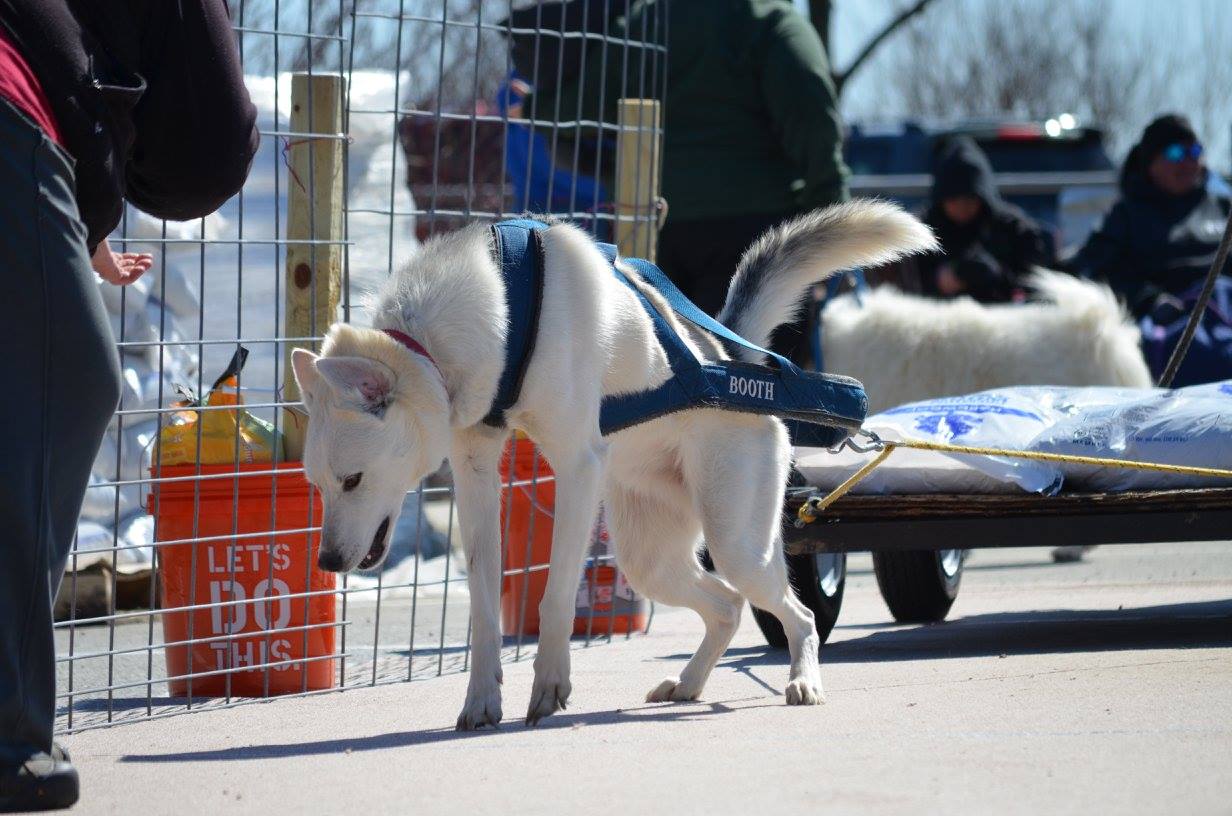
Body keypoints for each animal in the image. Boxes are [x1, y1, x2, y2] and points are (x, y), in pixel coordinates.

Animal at [290, 199, 931, 729]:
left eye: (353, 479)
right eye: (316, 485)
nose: (327, 562)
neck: (502, 305)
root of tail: (733, 356)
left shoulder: (576, 466)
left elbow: (553, 599)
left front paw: (549, 686)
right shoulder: (475, 470)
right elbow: (484, 608)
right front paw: (482, 699)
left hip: (737, 544)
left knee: (797, 616)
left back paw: (802, 681)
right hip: (651, 560)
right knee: (726, 607)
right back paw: (689, 684)